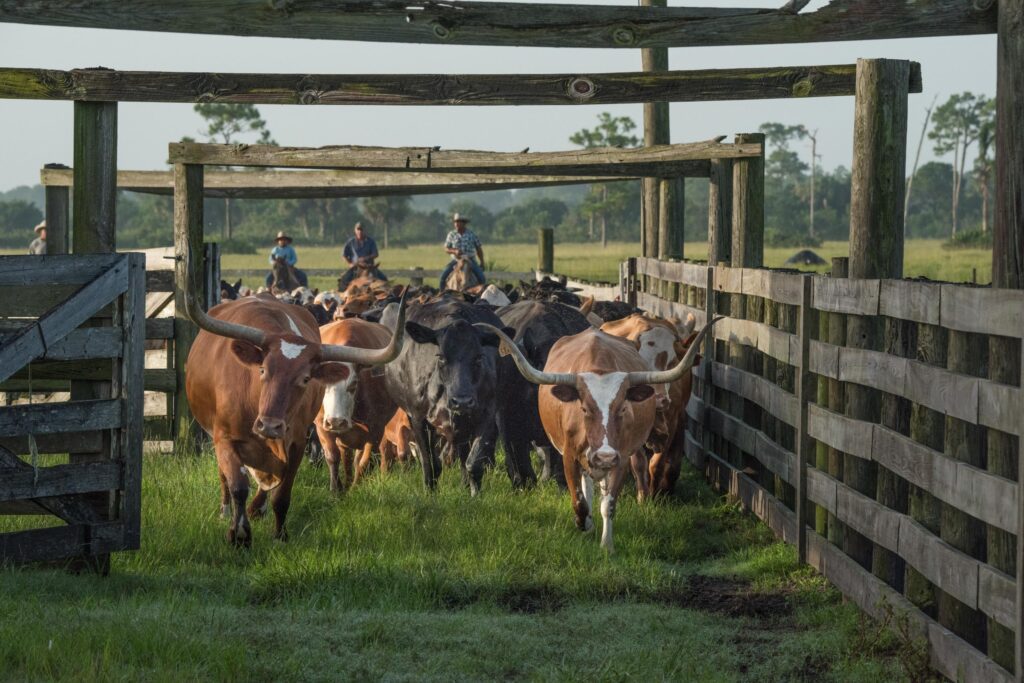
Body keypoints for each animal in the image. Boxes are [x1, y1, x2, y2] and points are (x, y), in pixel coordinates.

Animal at [314, 318, 400, 492]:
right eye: (322, 385)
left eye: (353, 384)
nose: (336, 422)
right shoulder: (321, 425)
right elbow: (333, 457)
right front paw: (335, 490)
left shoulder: (375, 430)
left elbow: (363, 462)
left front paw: (354, 489)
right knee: (345, 457)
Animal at [384, 296, 510, 494]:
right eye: (441, 357)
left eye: (479, 357)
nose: (462, 402)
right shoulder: (418, 419)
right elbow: (430, 464)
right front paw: (430, 494)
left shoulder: (487, 416)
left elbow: (473, 464)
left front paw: (475, 495)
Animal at [601, 313, 698, 498]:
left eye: (672, 362)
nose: (659, 399)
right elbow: (639, 463)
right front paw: (643, 496)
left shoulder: (673, 420)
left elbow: (657, 463)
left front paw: (655, 494)